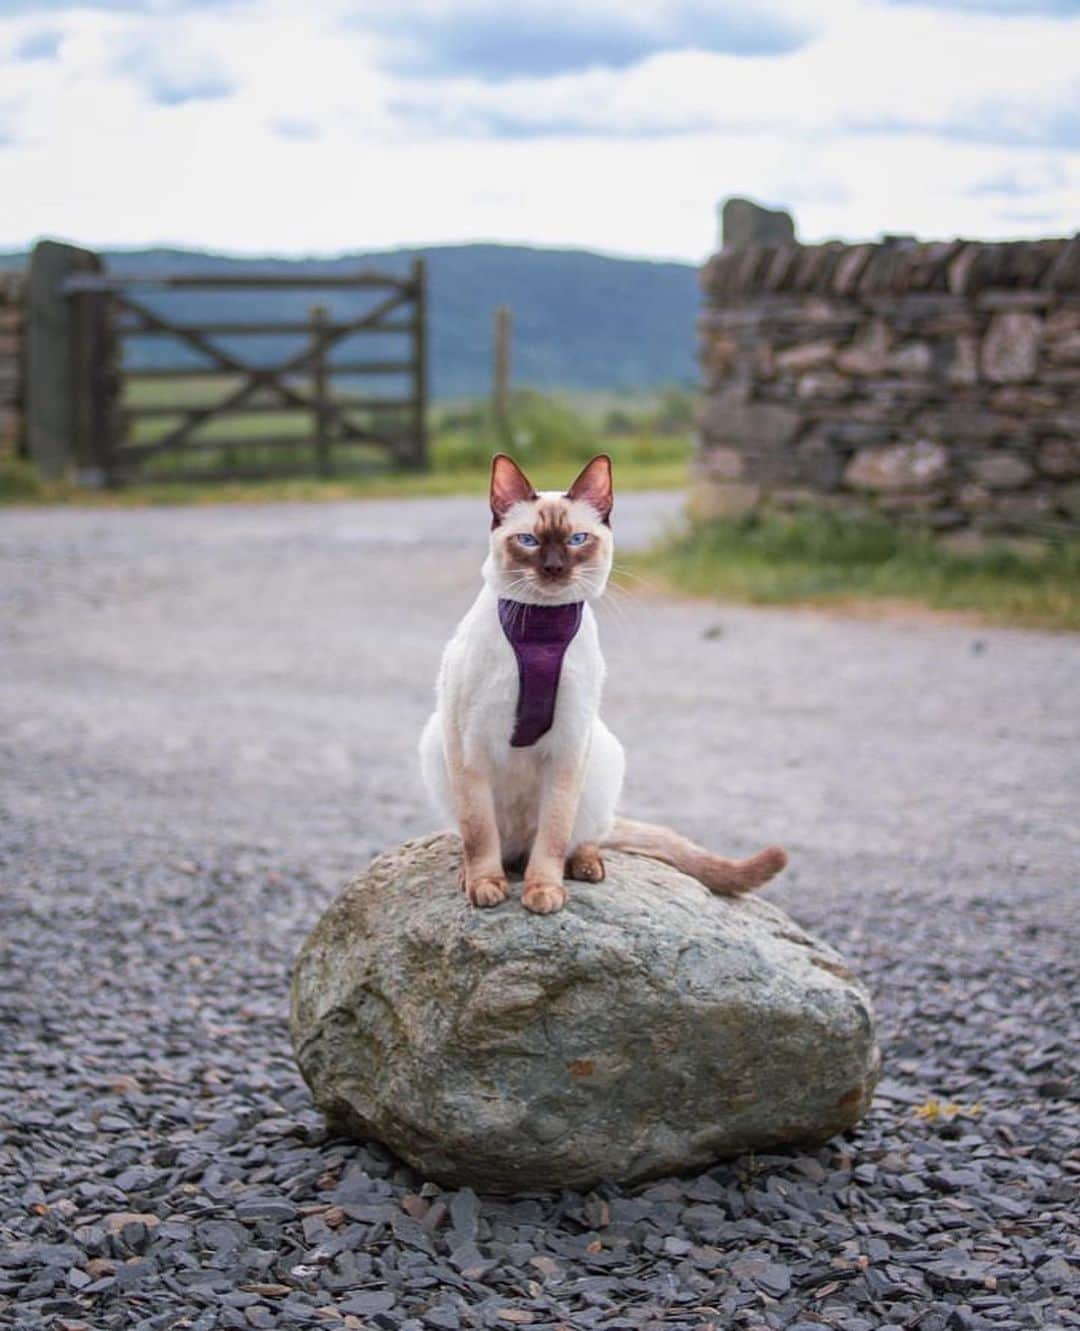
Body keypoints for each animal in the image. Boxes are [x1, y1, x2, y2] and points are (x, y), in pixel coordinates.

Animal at [418, 452, 788, 910]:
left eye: (577, 539)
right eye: (529, 541)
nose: (554, 568)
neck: (541, 629)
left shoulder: (568, 745)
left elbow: (554, 834)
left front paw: (543, 892)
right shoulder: (470, 745)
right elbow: (478, 833)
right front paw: (486, 886)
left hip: (600, 753)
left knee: (581, 837)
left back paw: (585, 867)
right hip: (439, 744)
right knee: (491, 842)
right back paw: (474, 875)